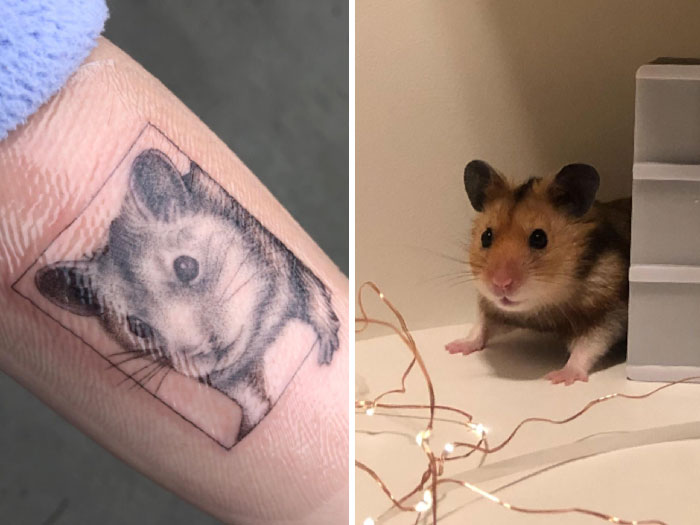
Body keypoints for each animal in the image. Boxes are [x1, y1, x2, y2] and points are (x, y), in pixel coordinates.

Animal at [35, 149, 340, 439]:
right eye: (138, 328)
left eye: (185, 266)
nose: (207, 349)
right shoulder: (235, 381)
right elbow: (252, 403)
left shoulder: (278, 253)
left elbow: (311, 289)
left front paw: (328, 339)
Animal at [445, 160, 631, 385]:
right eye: (486, 236)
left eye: (539, 238)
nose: (500, 284)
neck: (544, 305)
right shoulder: (496, 308)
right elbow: (481, 326)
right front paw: (453, 347)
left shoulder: (608, 313)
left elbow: (588, 347)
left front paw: (559, 377)